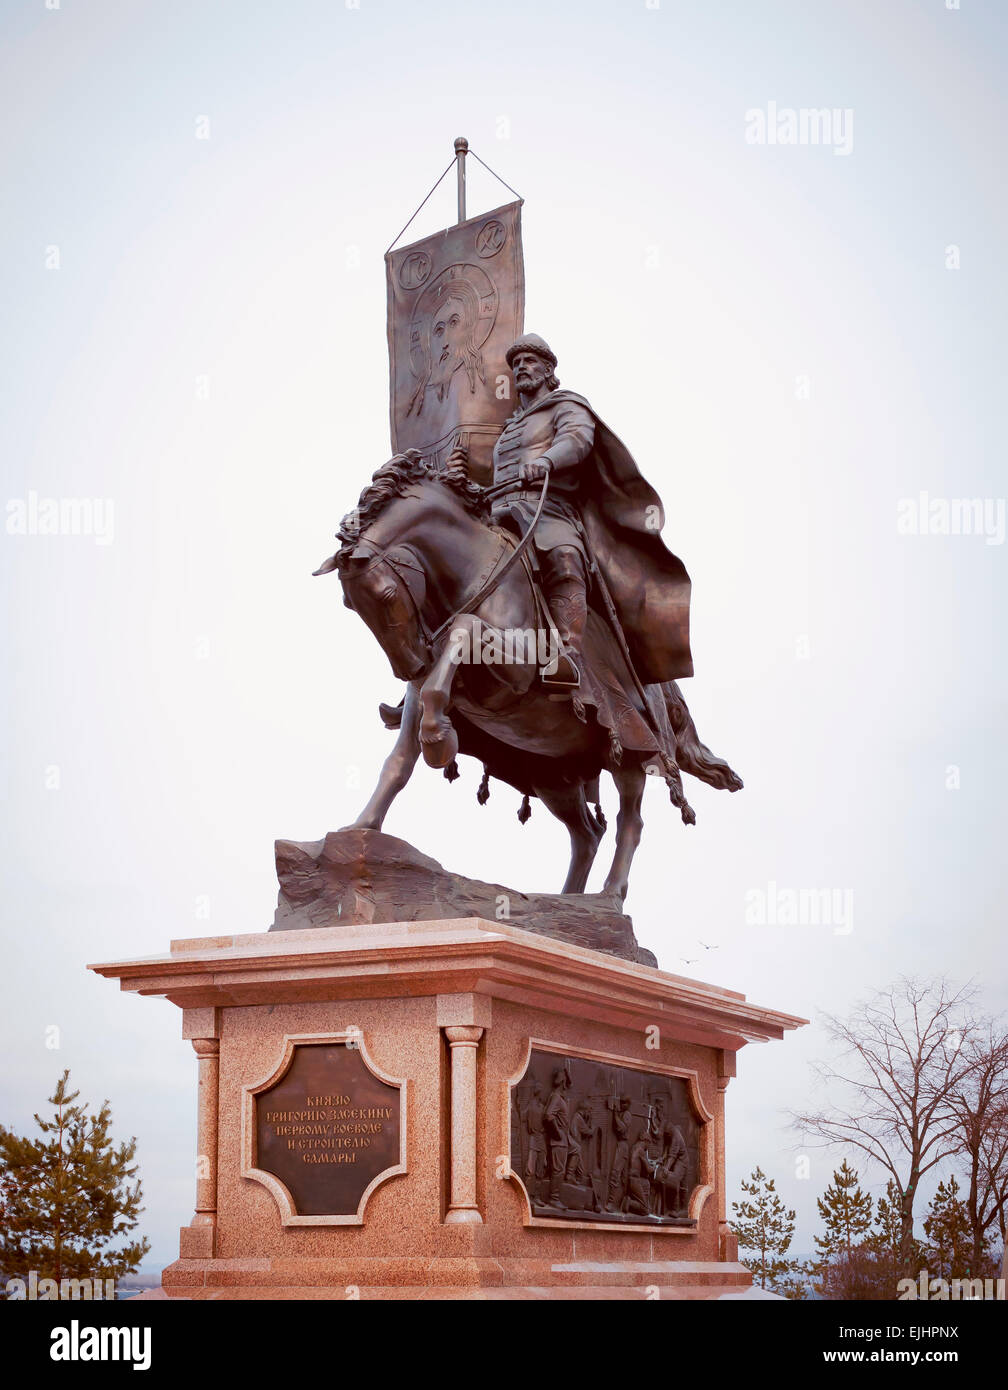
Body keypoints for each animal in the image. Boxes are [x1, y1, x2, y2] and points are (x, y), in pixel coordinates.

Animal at [314, 450, 739, 895]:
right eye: (348, 603)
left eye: (385, 595)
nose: (410, 664)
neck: (472, 571)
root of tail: (661, 688)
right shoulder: (420, 690)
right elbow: (398, 761)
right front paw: (362, 827)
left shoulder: (518, 669)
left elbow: (465, 628)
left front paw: (438, 741)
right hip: (554, 777)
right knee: (587, 833)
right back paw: (570, 900)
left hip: (629, 752)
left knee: (630, 822)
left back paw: (610, 894)